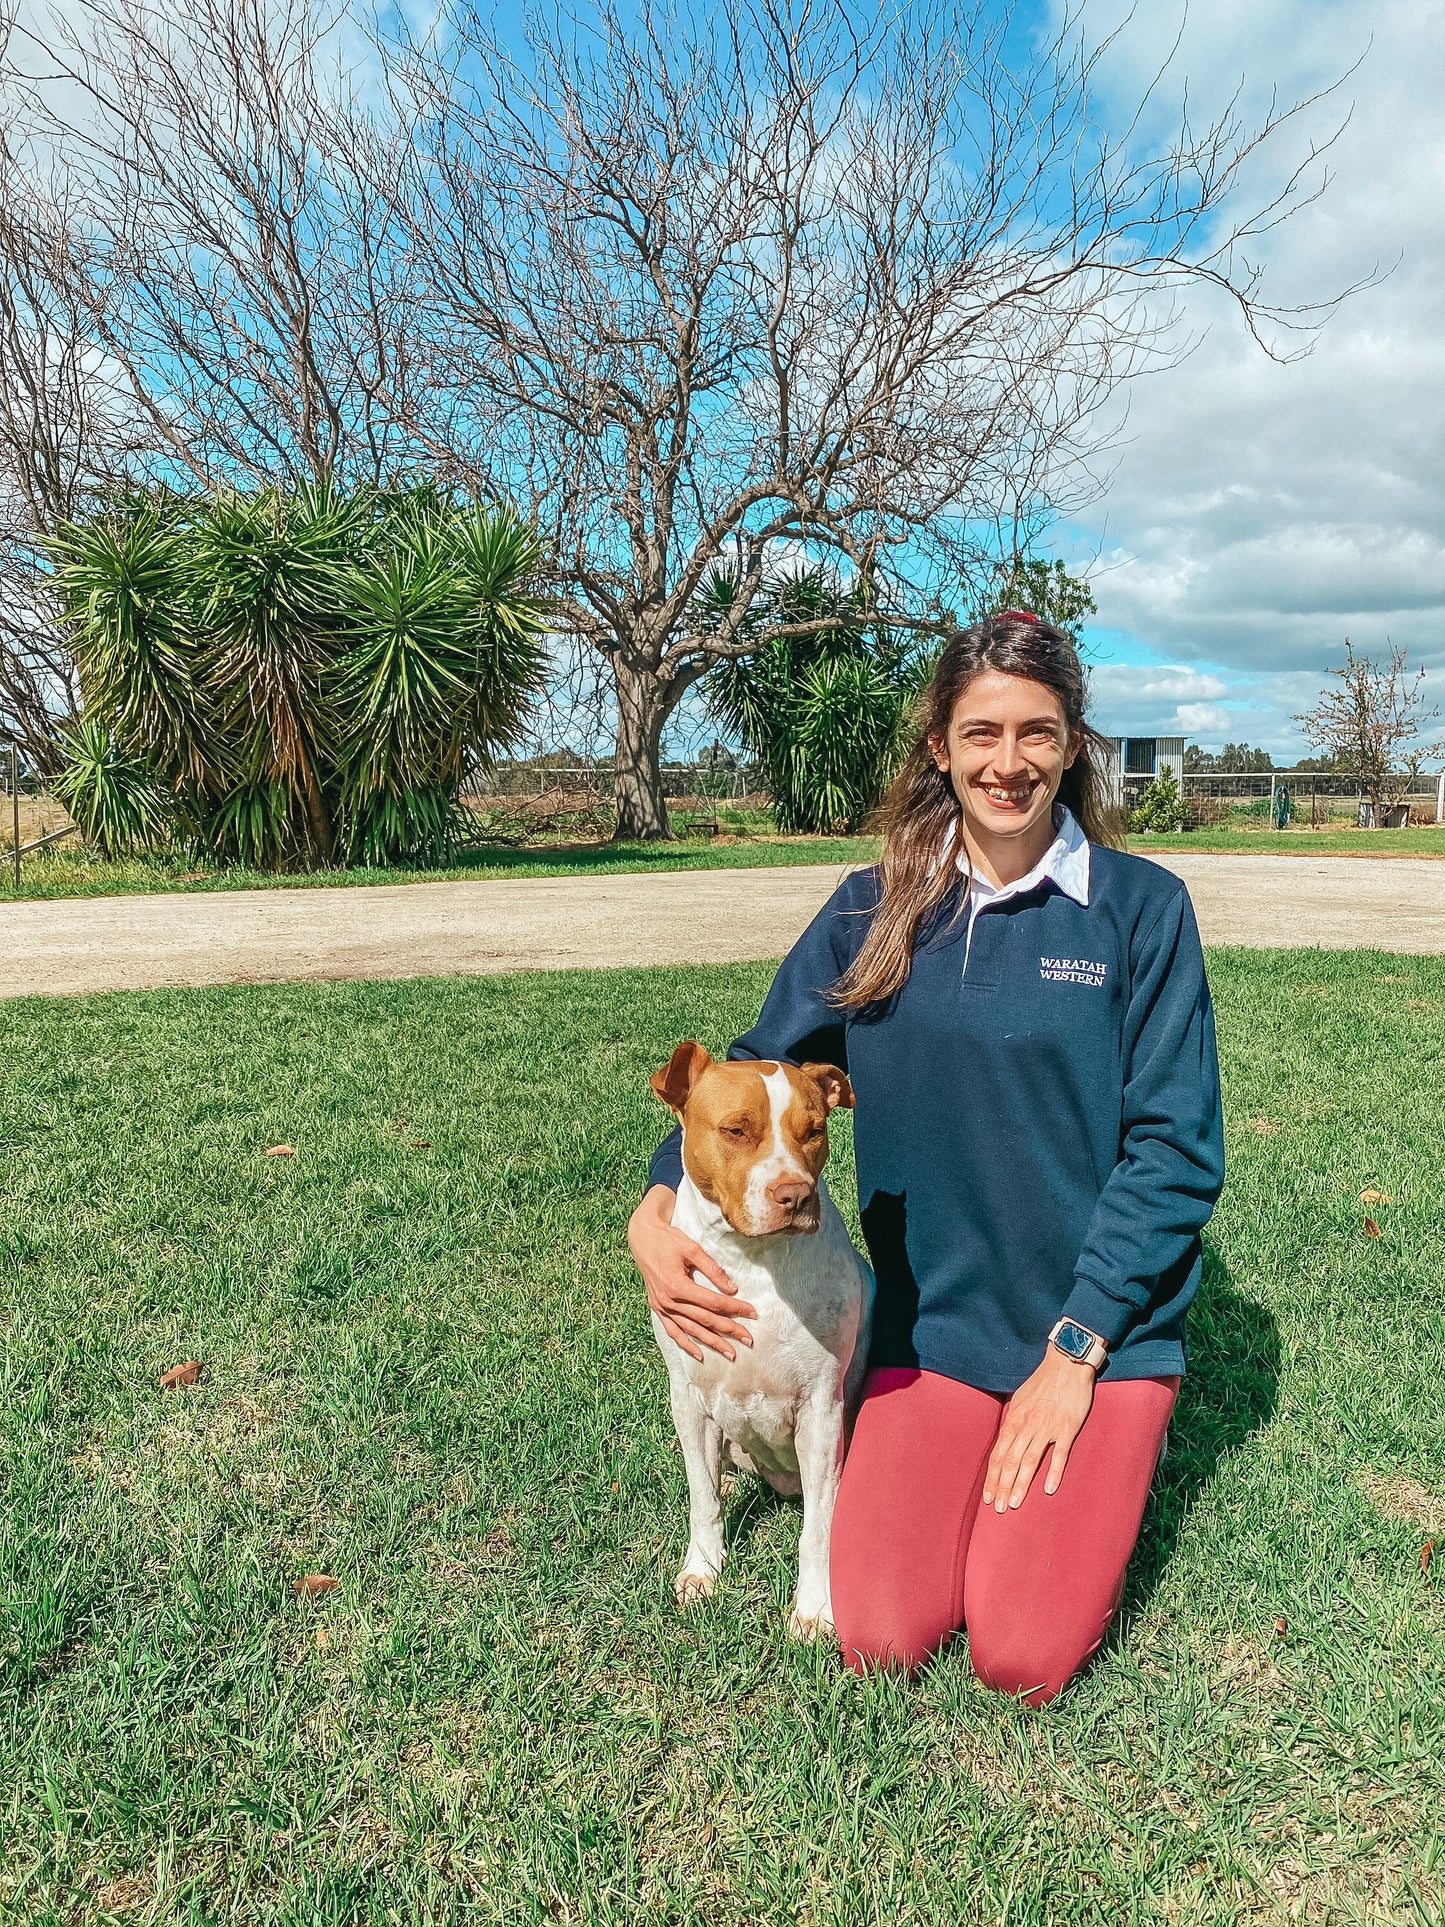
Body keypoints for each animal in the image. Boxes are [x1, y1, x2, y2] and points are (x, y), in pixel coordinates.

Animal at [655, 1048, 878, 1634]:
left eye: (815, 1130)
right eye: (735, 1129)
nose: (794, 1195)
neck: (752, 1262)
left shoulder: (821, 1410)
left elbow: (819, 1527)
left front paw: (816, 1608)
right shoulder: (688, 1397)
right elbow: (702, 1499)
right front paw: (703, 1569)